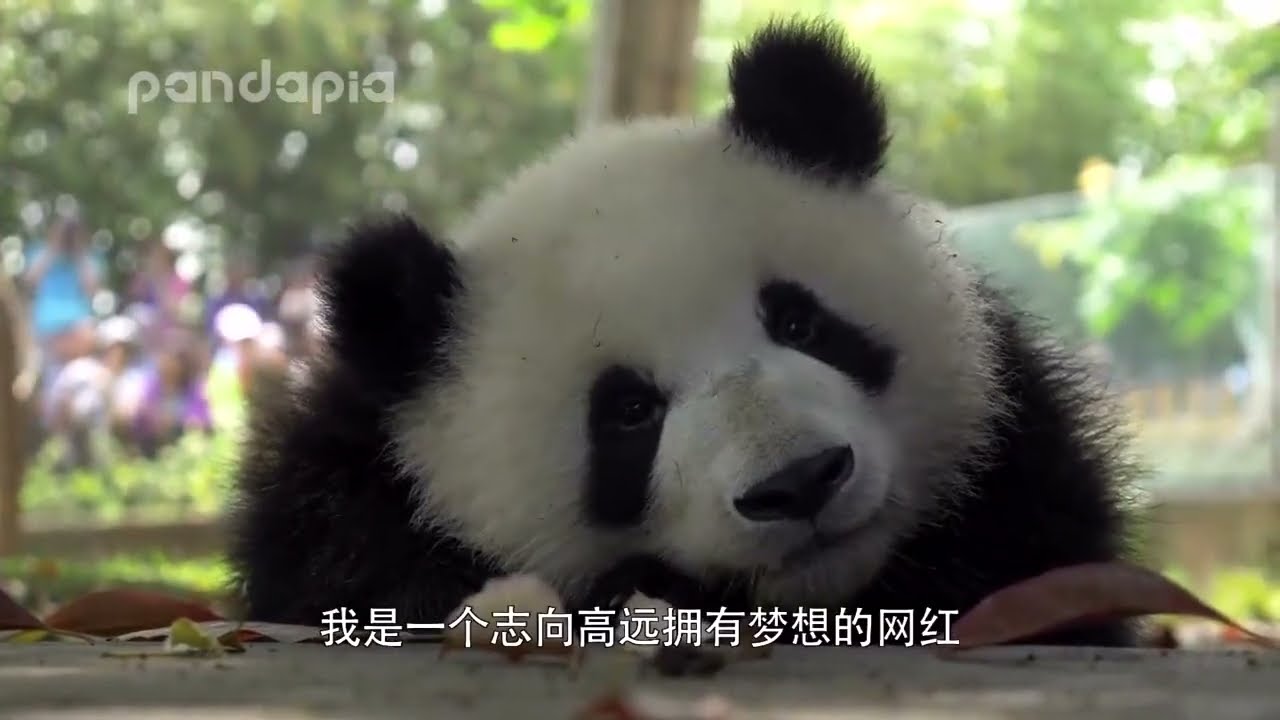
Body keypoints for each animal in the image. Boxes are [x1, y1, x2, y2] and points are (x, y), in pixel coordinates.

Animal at [227, 17, 1142, 650]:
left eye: (800, 321)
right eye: (628, 412)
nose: (799, 482)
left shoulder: (1019, 447)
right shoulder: (350, 464)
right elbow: (344, 563)